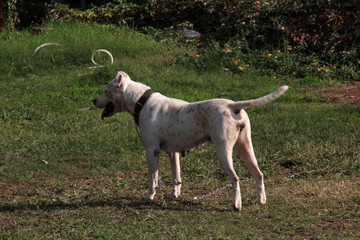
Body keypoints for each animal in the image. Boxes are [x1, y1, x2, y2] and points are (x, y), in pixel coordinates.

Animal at [93, 71, 290, 210]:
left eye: (105, 90)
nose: (94, 100)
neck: (141, 101)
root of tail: (233, 105)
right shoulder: (173, 152)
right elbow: (176, 176)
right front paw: (174, 195)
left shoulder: (151, 151)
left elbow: (153, 178)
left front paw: (149, 197)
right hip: (246, 148)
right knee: (258, 174)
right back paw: (260, 200)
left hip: (224, 152)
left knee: (235, 178)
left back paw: (236, 205)